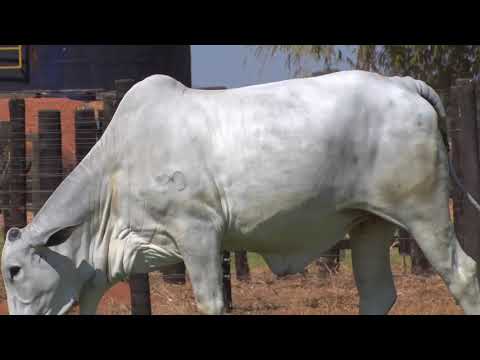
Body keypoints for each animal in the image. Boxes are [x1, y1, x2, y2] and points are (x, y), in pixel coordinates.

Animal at [1, 69, 478, 312]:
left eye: (14, 270)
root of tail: (402, 83)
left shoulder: (198, 233)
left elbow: (211, 302)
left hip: (423, 211)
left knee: (464, 275)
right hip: (369, 222)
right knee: (377, 293)